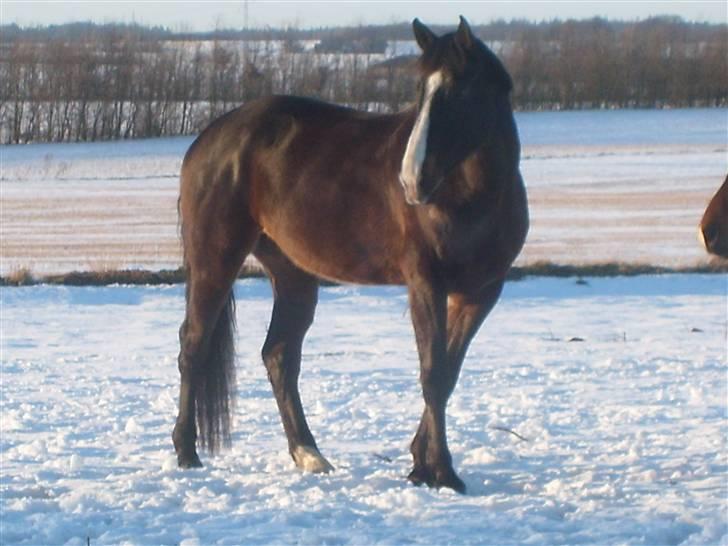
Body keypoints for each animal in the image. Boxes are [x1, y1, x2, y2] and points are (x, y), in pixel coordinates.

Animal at [176, 18, 528, 492]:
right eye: (421, 89)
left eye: (461, 91)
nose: (411, 180)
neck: (473, 197)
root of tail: (212, 136)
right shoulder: (426, 284)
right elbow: (433, 373)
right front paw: (439, 471)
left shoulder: (481, 292)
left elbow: (449, 372)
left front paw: (421, 461)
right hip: (215, 258)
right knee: (194, 345)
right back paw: (186, 452)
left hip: (293, 274)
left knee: (278, 354)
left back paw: (308, 454)